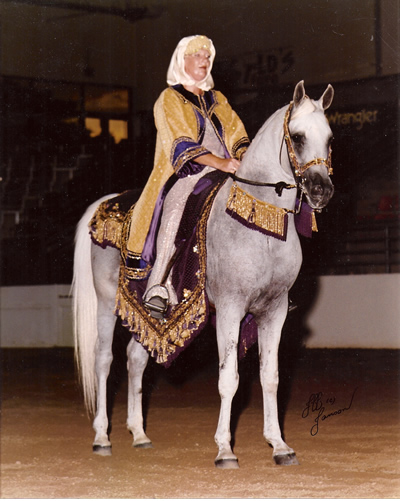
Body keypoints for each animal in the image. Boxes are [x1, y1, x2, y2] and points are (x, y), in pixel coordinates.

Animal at [72, 80, 334, 466]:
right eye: (298, 137)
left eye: (329, 138)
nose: (321, 190)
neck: (259, 222)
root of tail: (106, 203)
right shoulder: (229, 308)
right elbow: (229, 379)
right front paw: (225, 450)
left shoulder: (274, 311)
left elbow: (270, 377)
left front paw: (279, 446)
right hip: (106, 303)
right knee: (104, 362)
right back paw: (102, 438)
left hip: (142, 314)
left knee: (136, 360)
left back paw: (139, 434)